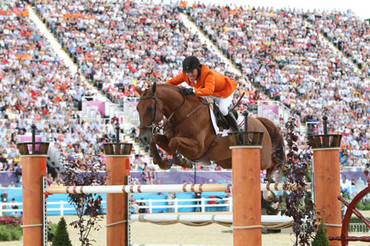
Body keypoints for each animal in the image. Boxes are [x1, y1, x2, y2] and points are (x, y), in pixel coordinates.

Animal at [136, 82, 286, 179]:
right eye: (137, 108)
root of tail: (261, 122)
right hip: (227, 161)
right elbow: (157, 139)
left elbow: (174, 142)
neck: (183, 113)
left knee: (273, 163)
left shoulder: (197, 148)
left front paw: (181, 160)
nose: (143, 138)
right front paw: (162, 161)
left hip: (262, 158)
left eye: (150, 108)